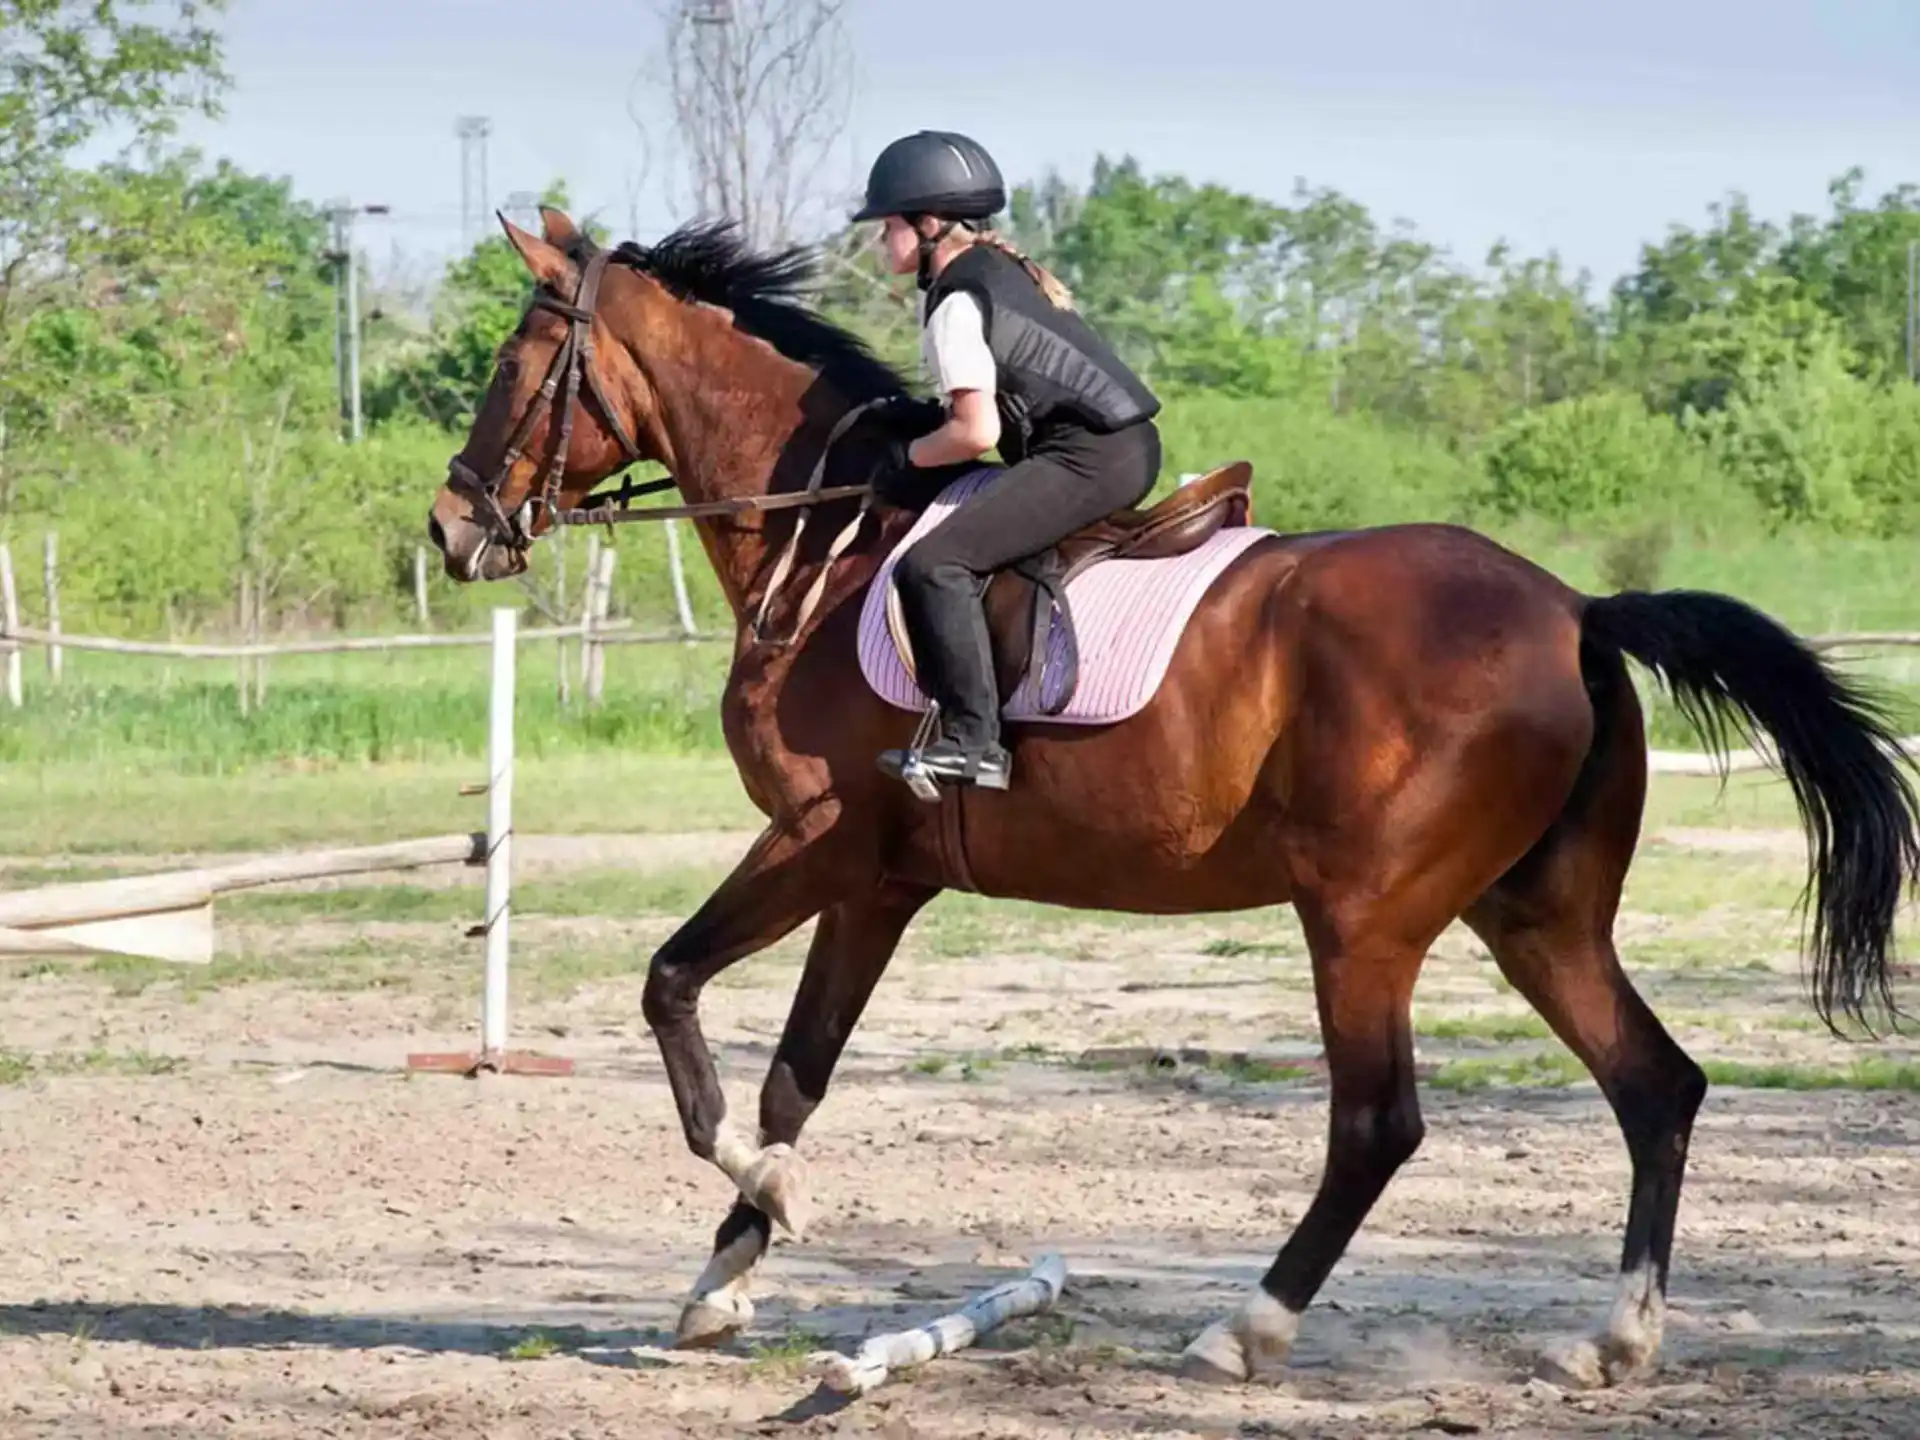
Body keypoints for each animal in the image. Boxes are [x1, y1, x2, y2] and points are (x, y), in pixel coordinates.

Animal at [426, 207, 1920, 1387]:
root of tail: (1573, 611)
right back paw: (1615, 1341)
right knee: (1656, 1085)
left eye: (511, 365)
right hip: (1535, 916)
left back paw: (1244, 1330)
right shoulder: (882, 881)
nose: (451, 531)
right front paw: (727, 1276)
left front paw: (758, 1196)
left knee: (1378, 1124)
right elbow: (799, 1074)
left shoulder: (816, 841)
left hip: (1364, 920)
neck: (831, 540)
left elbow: (671, 987)